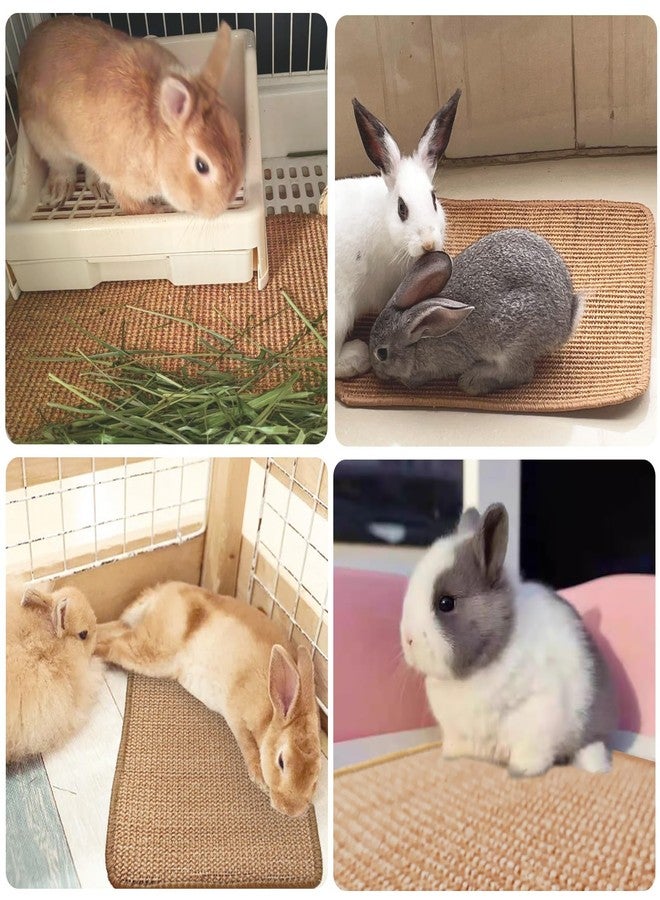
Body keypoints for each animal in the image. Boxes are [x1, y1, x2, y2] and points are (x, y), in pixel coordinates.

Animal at [16, 16, 243, 217]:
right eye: (201, 166)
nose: (222, 205)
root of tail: (31, 40)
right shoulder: (124, 183)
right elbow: (132, 206)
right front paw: (157, 211)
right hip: (46, 142)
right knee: (62, 167)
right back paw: (58, 192)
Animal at [95, 581, 322, 818]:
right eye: (281, 761)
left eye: (316, 776)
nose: (290, 810)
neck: (271, 714)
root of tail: (161, 592)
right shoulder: (235, 715)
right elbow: (247, 745)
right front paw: (259, 777)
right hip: (153, 651)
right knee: (111, 645)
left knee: (111, 630)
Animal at [369, 228, 584, 394]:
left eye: (382, 353)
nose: (376, 372)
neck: (420, 337)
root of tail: (565, 324)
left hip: (513, 342)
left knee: (518, 374)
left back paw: (473, 382)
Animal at [400, 504, 617, 777]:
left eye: (446, 603)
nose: (407, 639)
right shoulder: (455, 730)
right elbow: (456, 744)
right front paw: (450, 757)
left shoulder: (538, 710)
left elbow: (531, 748)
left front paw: (521, 771)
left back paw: (596, 767)